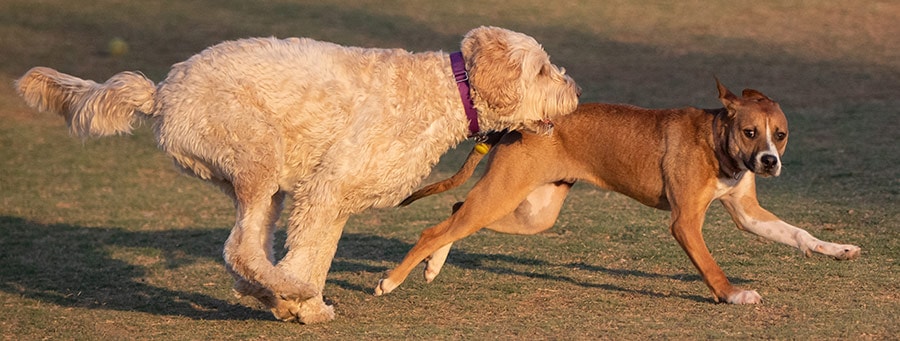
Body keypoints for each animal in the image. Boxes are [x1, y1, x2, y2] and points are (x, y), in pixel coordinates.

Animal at [17, 25, 580, 322]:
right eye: (542, 70)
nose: (574, 93)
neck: (447, 90)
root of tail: (163, 91)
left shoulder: (330, 198)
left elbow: (318, 253)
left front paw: (302, 306)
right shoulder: (326, 189)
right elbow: (311, 256)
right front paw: (307, 302)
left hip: (262, 186)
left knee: (242, 253)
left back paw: (272, 295)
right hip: (257, 157)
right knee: (240, 251)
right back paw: (286, 293)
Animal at [376, 79, 860, 302]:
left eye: (780, 135)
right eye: (749, 132)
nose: (769, 162)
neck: (717, 142)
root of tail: (523, 123)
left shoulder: (748, 215)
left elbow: (798, 234)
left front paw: (837, 249)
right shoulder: (685, 223)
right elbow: (710, 266)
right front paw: (733, 295)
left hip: (532, 214)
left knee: (455, 213)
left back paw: (432, 267)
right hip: (504, 196)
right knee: (435, 229)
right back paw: (391, 280)